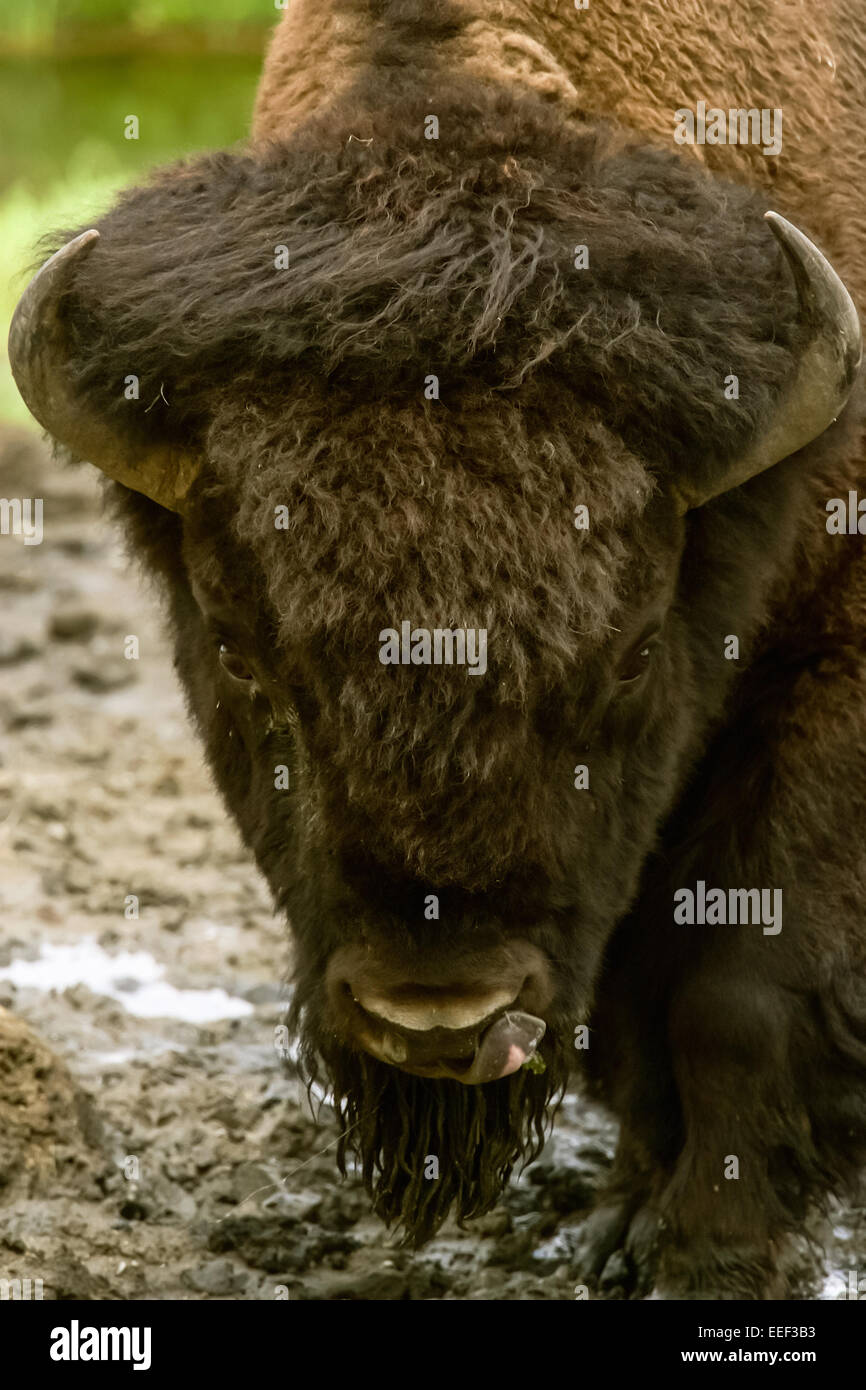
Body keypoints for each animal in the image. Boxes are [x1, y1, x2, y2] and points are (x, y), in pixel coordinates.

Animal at [10, 2, 866, 1301]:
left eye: (629, 651)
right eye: (239, 649)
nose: (437, 1015)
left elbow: (737, 989)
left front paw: (707, 1259)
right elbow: (632, 987)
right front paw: (621, 1224)